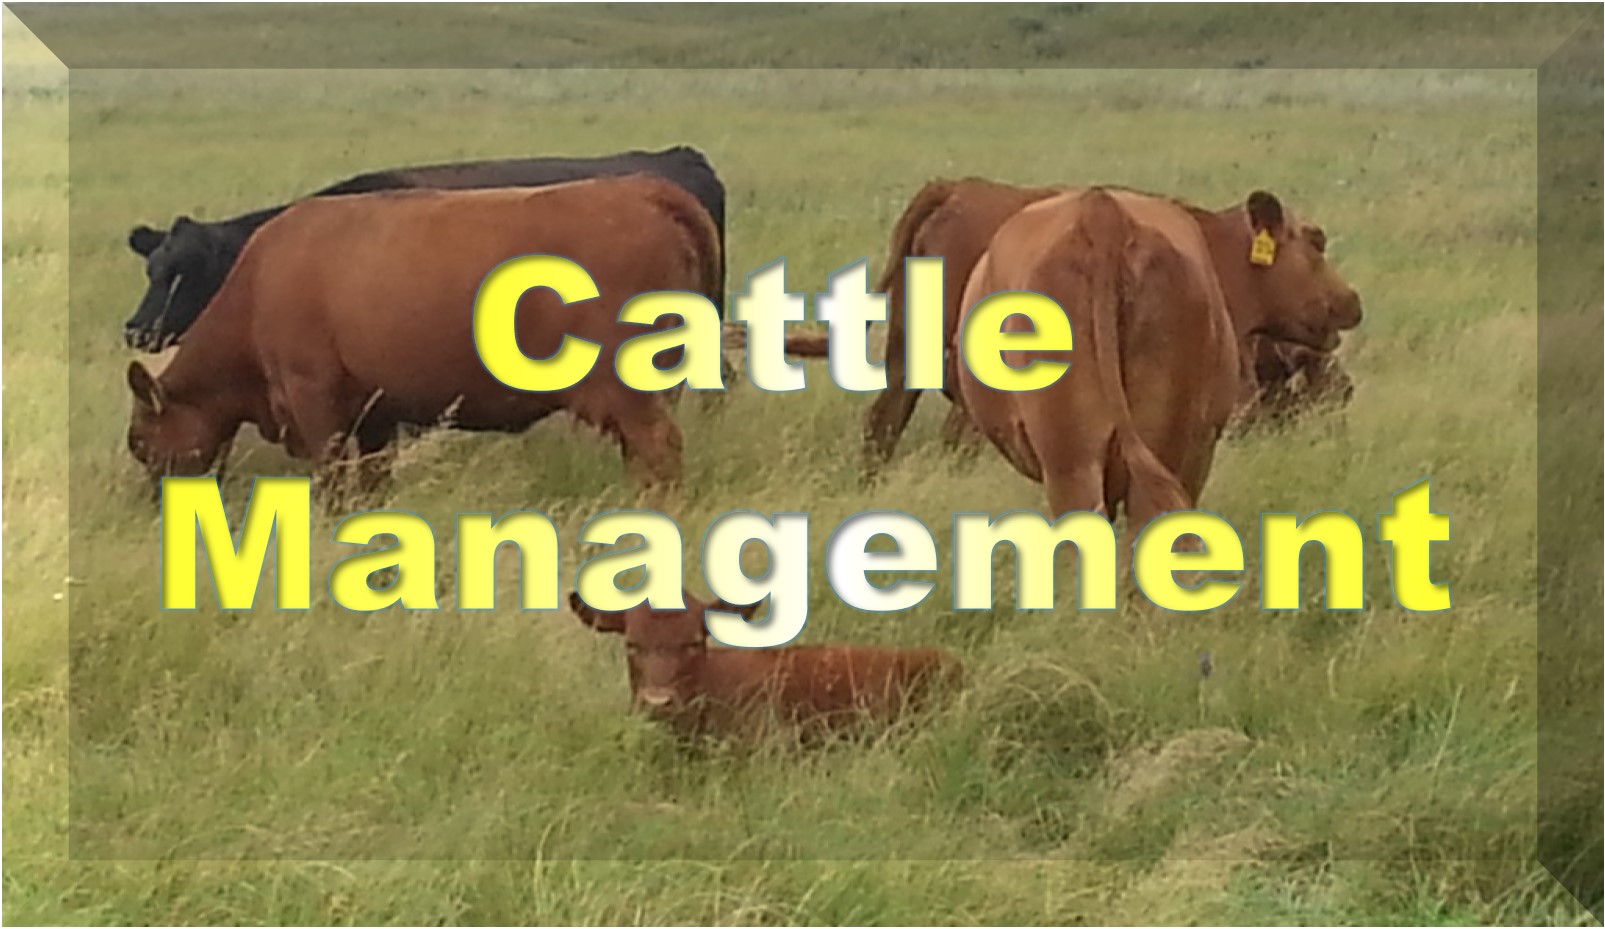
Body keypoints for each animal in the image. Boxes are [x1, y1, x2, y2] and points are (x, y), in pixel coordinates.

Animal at [123, 175, 720, 495]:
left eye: (139, 442)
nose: (156, 502)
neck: (260, 282)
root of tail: (644, 191)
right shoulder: (376, 416)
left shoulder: (315, 403)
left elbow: (332, 483)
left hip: (633, 396)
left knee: (659, 453)